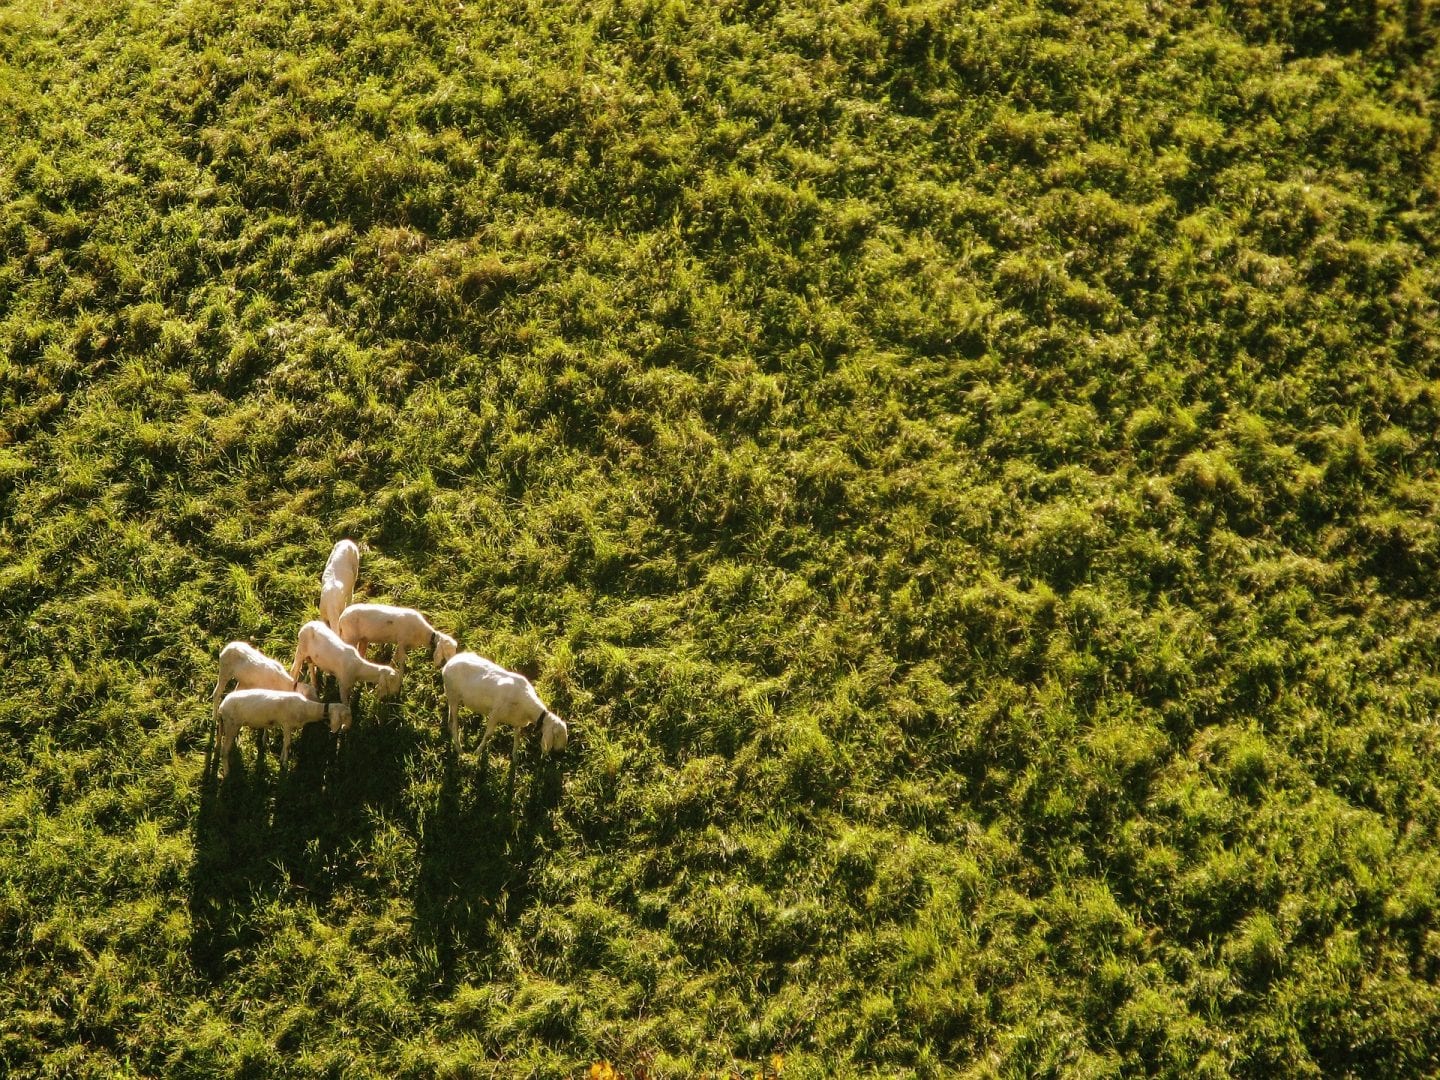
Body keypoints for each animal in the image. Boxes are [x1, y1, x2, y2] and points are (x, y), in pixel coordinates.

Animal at [217, 687, 351, 777]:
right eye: (346, 716)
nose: (348, 728)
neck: (306, 709)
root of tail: (221, 707)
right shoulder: (287, 724)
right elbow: (287, 745)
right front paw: (285, 765)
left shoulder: (286, 725)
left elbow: (284, 743)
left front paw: (281, 759)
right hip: (231, 724)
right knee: (224, 750)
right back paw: (227, 773)